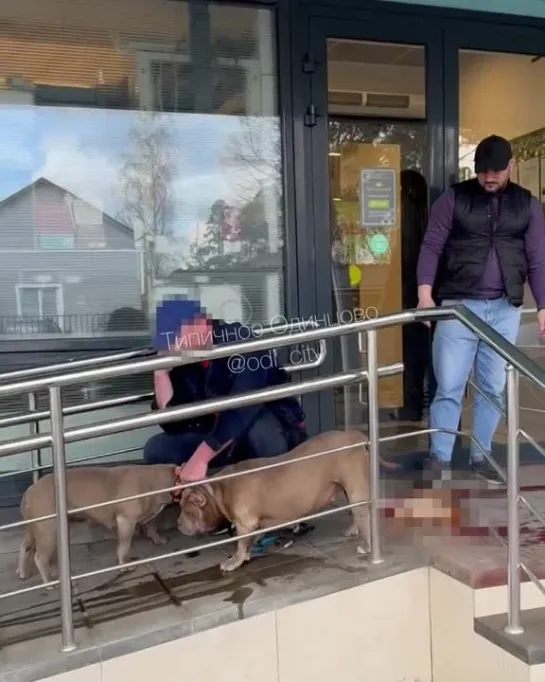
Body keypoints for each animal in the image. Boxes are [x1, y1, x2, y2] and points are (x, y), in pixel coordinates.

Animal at [18, 460, 175, 580]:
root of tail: (30, 490)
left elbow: (152, 525)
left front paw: (158, 539)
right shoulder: (126, 521)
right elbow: (124, 547)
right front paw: (124, 566)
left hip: (35, 530)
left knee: (25, 547)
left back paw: (22, 572)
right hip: (48, 531)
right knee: (40, 558)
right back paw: (50, 581)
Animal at [177, 430, 396, 568]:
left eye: (186, 510)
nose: (178, 523)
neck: (216, 489)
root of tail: (356, 435)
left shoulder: (244, 523)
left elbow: (239, 544)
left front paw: (235, 561)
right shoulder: (253, 524)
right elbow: (250, 540)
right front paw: (249, 550)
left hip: (354, 485)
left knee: (363, 514)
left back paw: (366, 546)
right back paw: (352, 530)